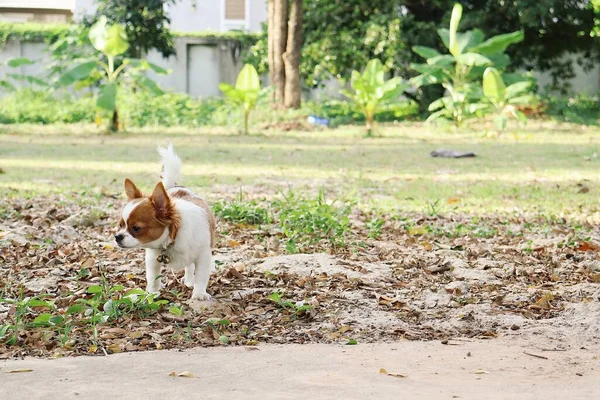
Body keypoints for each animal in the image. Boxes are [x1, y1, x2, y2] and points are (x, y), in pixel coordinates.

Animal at [115, 145, 216, 300]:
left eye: (136, 228)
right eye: (120, 225)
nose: (117, 237)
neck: (174, 237)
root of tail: (173, 187)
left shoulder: (204, 255)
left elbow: (201, 276)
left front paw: (199, 294)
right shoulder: (152, 258)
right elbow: (153, 277)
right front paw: (152, 293)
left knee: (189, 267)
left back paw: (189, 281)